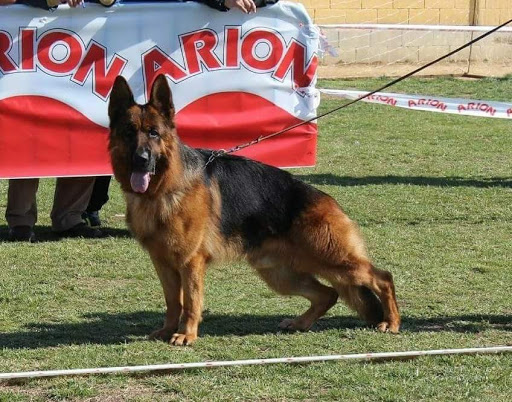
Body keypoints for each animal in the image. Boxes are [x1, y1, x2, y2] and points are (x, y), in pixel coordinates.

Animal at [108, 75, 400, 346]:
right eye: (129, 132)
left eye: (153, 133)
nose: (141, 160)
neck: (165, 188)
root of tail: (326, 199)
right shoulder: (163, 264)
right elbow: (172, 303)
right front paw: (168, 330)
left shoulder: (190, 263)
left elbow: (190, 302)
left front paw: (186, 335)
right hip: (280, 274)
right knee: (329, 294)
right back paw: (300, 323)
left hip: (332, 259)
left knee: (382, 278)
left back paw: (392, 322)